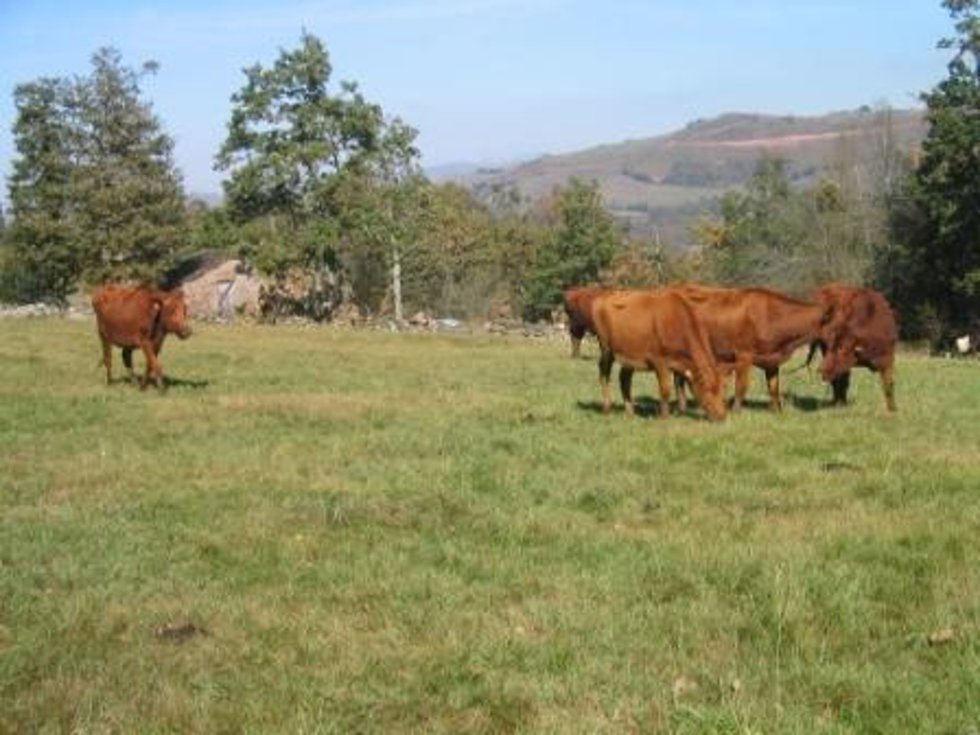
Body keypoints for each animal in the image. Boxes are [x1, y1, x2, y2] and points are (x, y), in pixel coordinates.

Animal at [590, 289, 727, 421]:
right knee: (604, 375)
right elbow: (665, 389)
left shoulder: (679, 364)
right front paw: (664, 417)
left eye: (722, 390)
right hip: (606, 350)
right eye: (709, 390)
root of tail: (604, 297)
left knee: (624, 379)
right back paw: (607, 409)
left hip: (629, 357)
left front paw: (679, 412)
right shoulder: (660, 361)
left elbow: (678, 386)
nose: (721, 416)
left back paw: (630, 412)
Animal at [670, 283, 834, 412]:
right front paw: (736, 411)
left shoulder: (771, 359)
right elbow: (741, 386)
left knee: (679, 378)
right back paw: (682, 407)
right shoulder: (743, 355)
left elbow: (773, 387)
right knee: (678, 379)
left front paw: (776, 412)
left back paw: (682, 407)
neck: (771, 315)